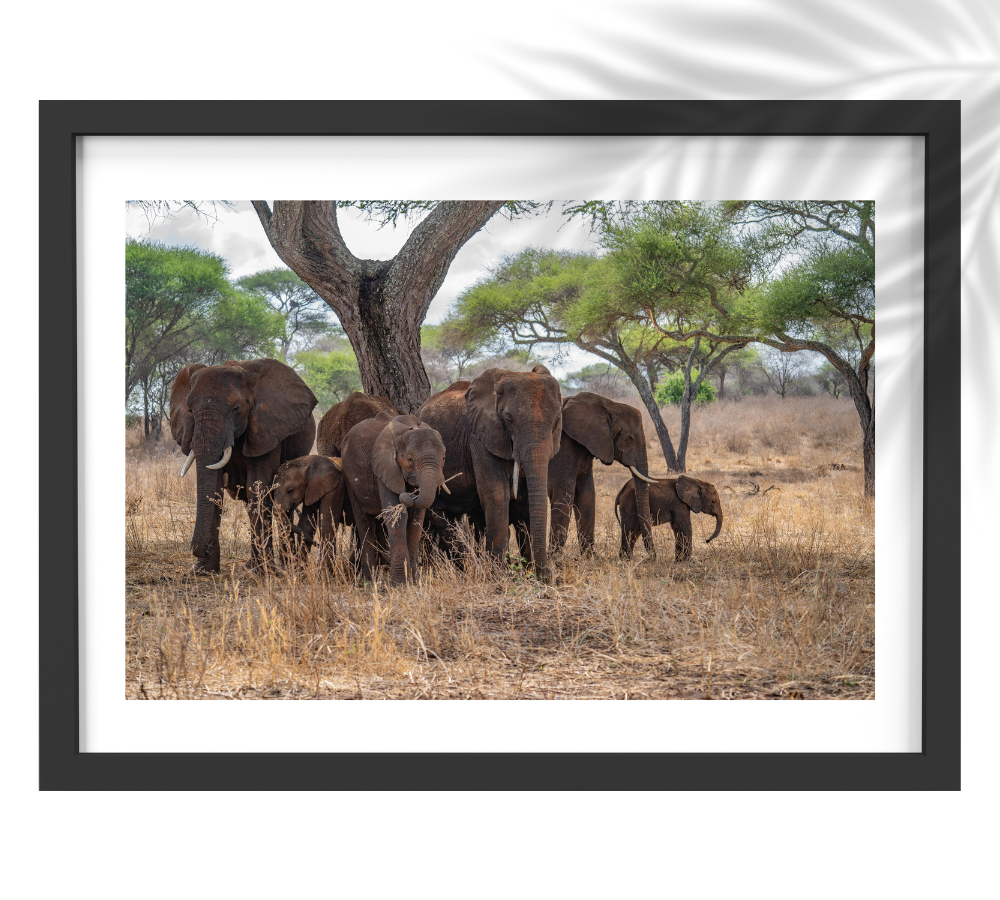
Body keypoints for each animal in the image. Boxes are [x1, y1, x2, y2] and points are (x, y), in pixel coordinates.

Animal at [169, 358, 317, 573]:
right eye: (190, 410)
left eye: (236, 408)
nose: (207, 547)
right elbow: (216, 491)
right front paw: (203, 572)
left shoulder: (267, 429)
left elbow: (257, 488)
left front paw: (264, 572)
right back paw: (253, 564)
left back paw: (285, 565)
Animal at [340, 412, 448, 585]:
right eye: (410, 459)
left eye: (443, 458)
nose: (409, 494)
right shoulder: (386, 468)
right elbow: (397, 516)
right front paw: (400, 584)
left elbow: (416, 519)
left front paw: (414, 581)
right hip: (350, 478)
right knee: (364, 524)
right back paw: (370, 581)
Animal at [417, 365, 563, 582]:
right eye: (508, 419)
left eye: (556, 420)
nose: (547, 576)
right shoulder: (479, 439)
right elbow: (496, 493)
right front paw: (499, 577)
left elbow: (527, 499)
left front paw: (530, 574)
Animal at [510, 391, 657, 560]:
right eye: (631, 437)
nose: (652, 558)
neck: (608, 405)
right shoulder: (563, 451)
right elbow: (564, 497)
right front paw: (555, 559)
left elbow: (586, 496)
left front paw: (590, 558)